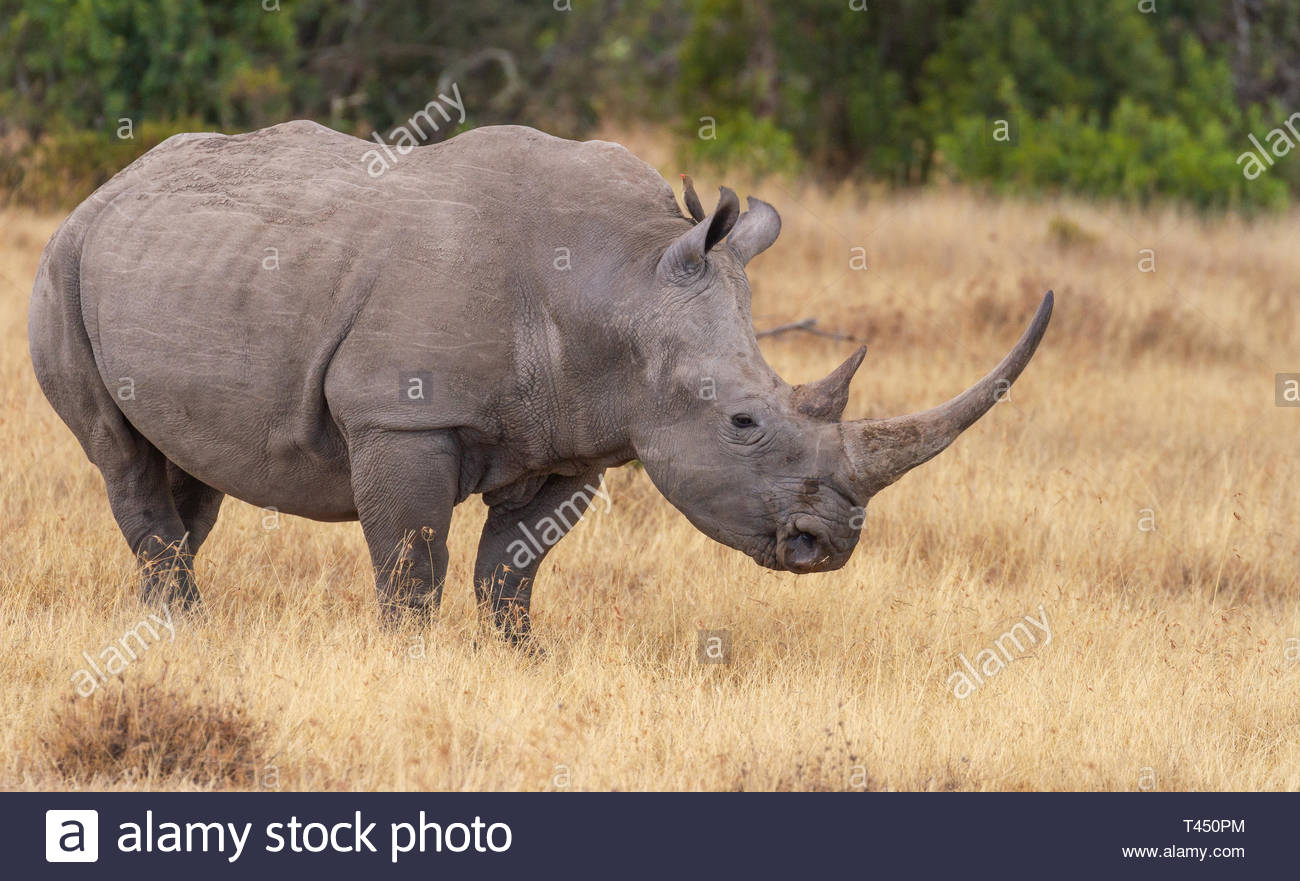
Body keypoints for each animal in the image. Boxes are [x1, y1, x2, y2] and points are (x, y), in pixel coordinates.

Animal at [29, 121, 1052, 641]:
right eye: (744, 422)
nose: (828, 544)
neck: (621, 278)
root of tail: (110, 184)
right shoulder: (400, 416)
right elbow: (413, 563)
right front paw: (406, 660)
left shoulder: (579, 434)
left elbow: (510, 570)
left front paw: (519, 655)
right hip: (61, 263)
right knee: (120, 454)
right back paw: (183, 629)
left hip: (171, 261)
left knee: (187, 472)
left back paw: (166, 627)